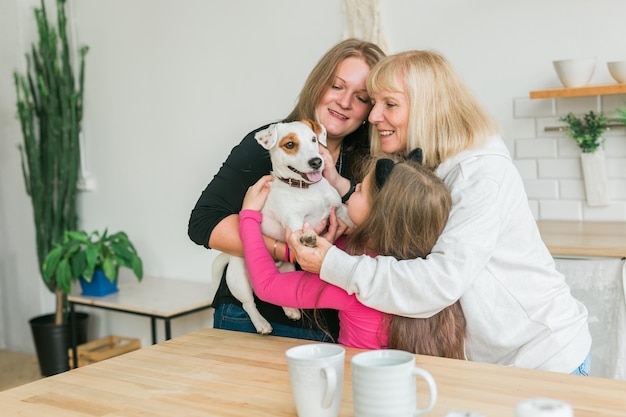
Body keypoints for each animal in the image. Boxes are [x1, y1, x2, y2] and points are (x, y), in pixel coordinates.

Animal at [212, 118, 352, 334]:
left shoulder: (338, 209)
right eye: (290, 144)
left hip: (287, 272)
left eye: (313, 139)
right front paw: (307, 238)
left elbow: (349, 216)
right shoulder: (293, 219)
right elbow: (299, 230)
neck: (307, 189)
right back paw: (261, 324)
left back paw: (290, 310)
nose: (316, 162)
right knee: (249, 303)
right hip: (239, 279)